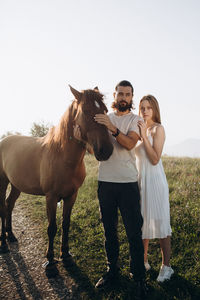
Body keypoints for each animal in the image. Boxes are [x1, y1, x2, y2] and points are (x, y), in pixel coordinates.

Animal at [0, 85, 112, 270]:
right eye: (86, 111)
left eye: (105, 110)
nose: (106, 150)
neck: (62, 156)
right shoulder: (51, 197)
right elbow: (52, 227)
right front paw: (51, 261)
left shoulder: (71, 196)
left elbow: (65, 224)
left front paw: (65, 255)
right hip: (2, 182)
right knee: (3, 208)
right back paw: (3, 244)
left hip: (16, 185)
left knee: (9, 204)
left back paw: (11, 235)